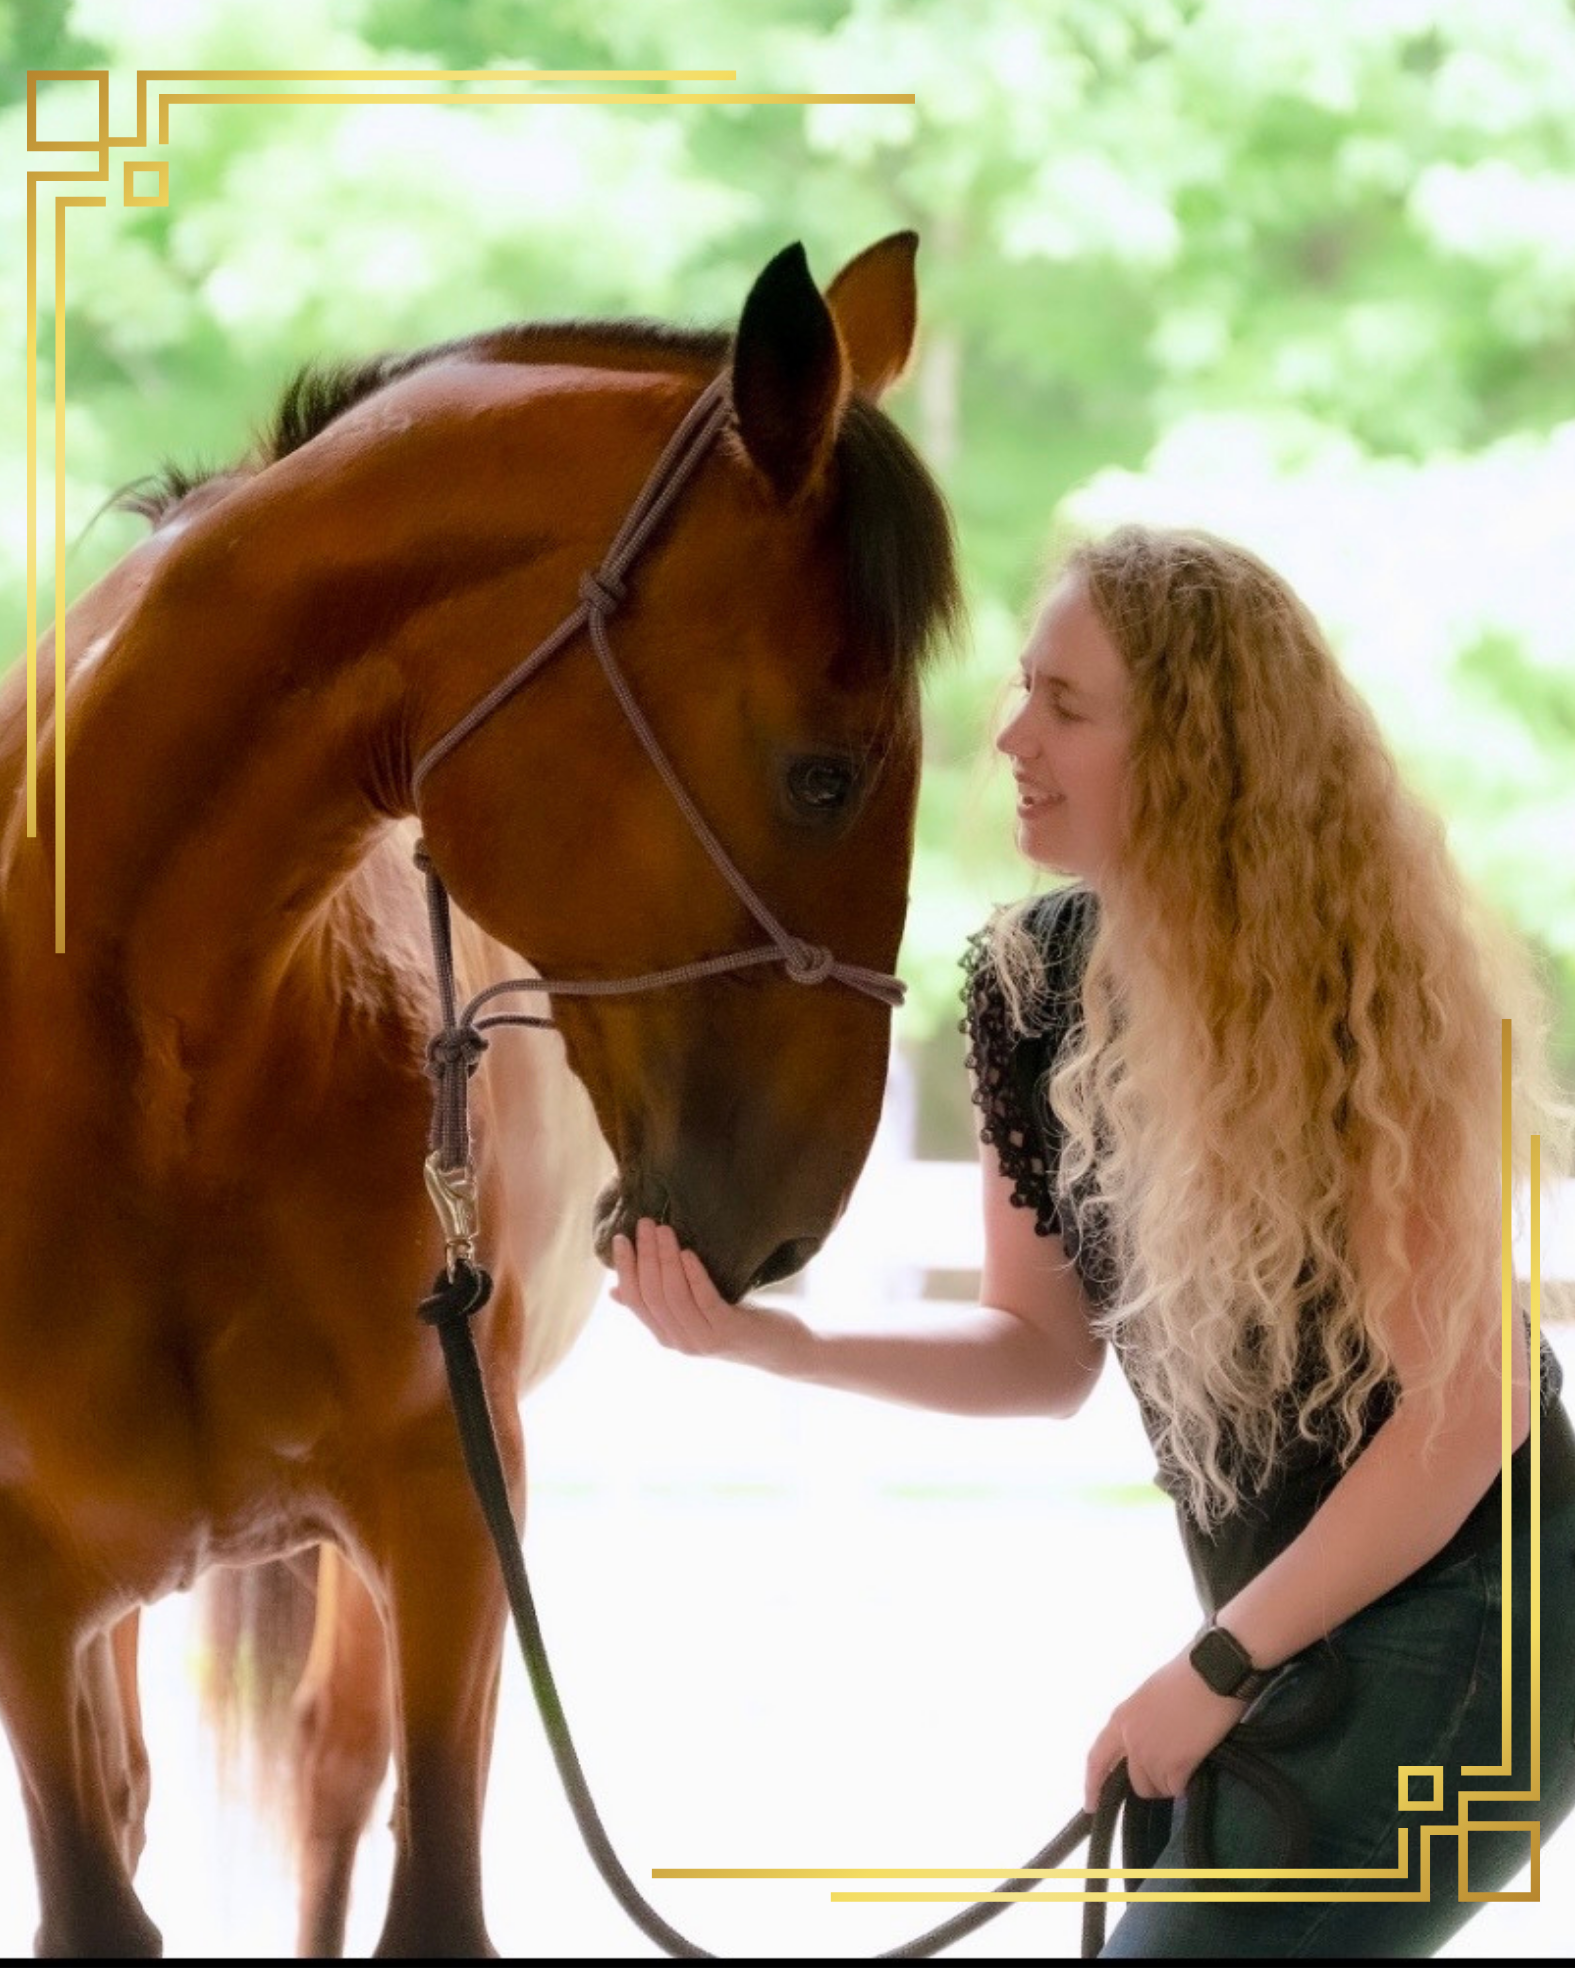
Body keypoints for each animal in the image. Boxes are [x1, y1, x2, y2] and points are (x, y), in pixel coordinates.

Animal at [0, 231, 960, 1958]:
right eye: (822, 775)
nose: (785, 1228)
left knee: (329, 1771)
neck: (153, 1060)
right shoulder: (28, 1603)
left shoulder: (453, 1524)